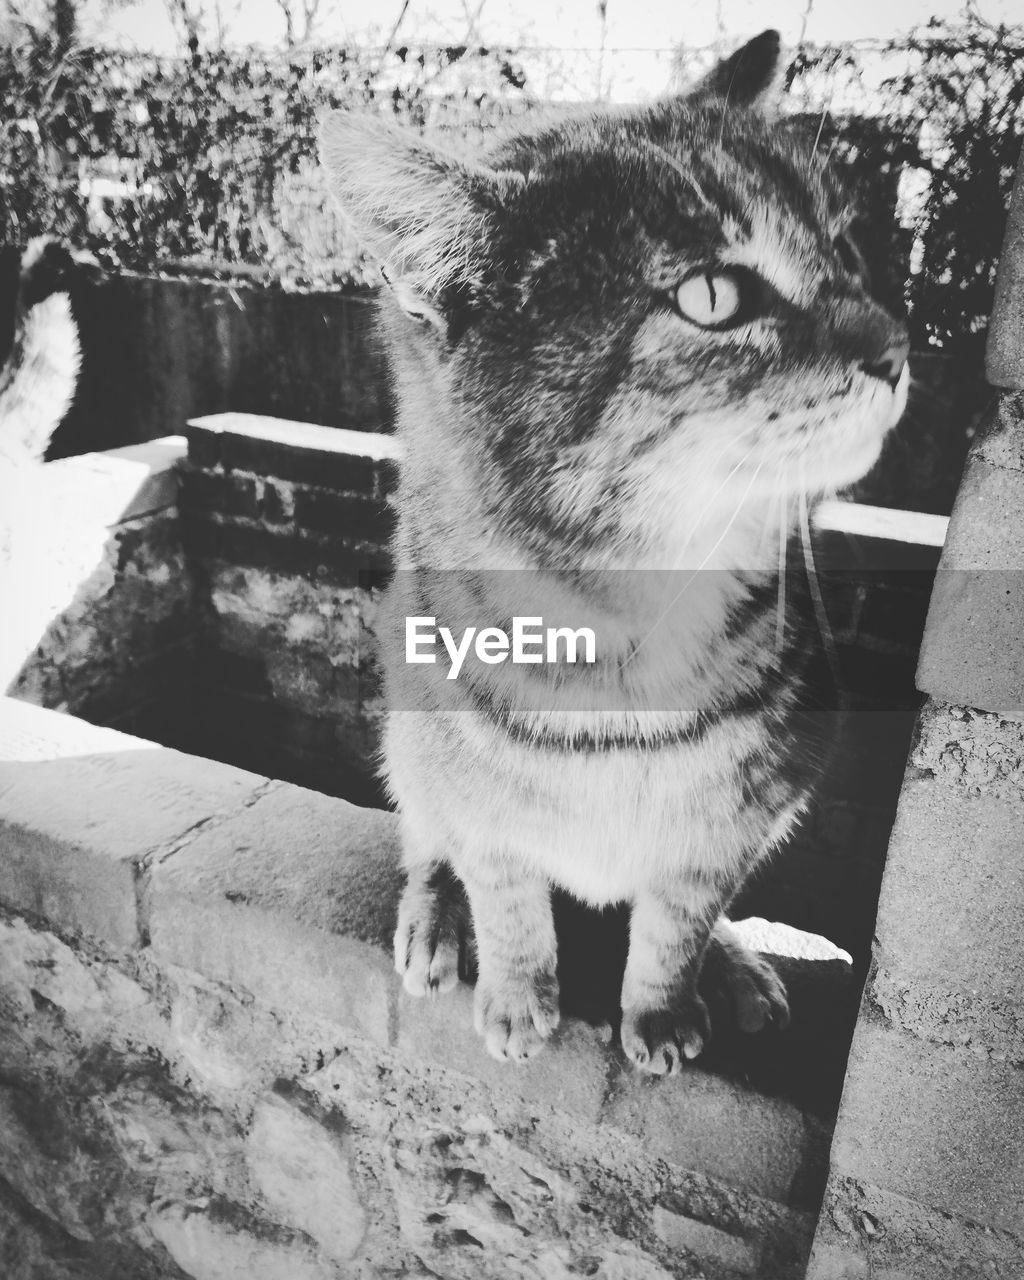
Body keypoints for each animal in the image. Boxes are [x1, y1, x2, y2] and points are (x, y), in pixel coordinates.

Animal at [317, 30, 906, 1070]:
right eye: (713, 295)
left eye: (841, 249)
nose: (901, 347)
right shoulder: (481, 812)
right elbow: (505, 895)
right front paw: (518, 996)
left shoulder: (739, 819)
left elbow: (678, 921)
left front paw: (666, 1006)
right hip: (403, 735)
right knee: (423, 839)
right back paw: (433, 918)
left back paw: (739, 963)